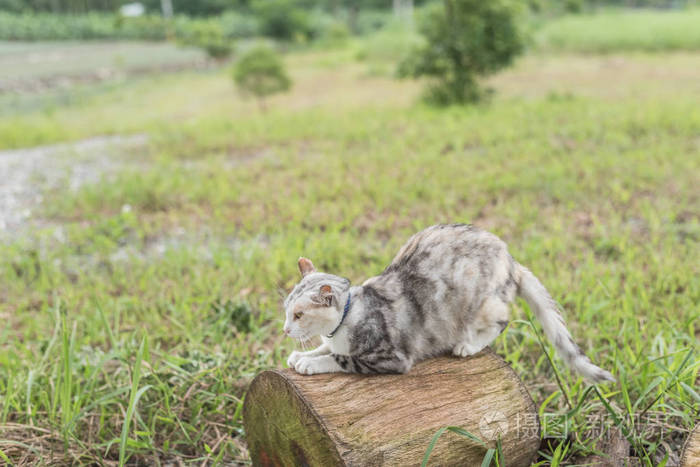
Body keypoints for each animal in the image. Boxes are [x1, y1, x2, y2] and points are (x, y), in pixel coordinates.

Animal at [282, 224, 616, 384]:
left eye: (298, 315)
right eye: (286, 310)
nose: (285, 330)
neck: (347, 318)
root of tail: (511, 260)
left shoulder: (389, 357)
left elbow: (339, 359)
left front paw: (310, 363)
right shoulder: (335, 339)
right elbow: (326, 347)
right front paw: (302, 354)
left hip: (479, 304)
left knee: (502, 320)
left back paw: (467, 345)